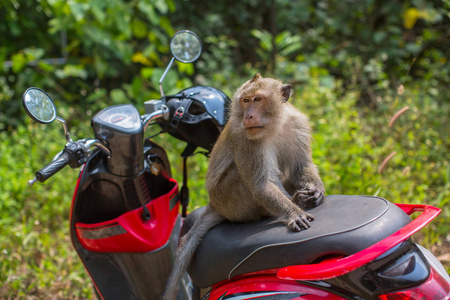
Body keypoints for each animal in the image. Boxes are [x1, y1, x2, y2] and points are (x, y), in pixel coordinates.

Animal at [163, 73, 326, 300]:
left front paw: (316, 190)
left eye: (257, 99)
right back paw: (289, 203)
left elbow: (301, 166)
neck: (275, 124)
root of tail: (214, 204)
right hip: (232, 201)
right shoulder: (246, 138)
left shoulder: (297, 124)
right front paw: (294, 212)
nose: (248, 116)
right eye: (245, 100)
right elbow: (260, 185)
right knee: (243, 175)